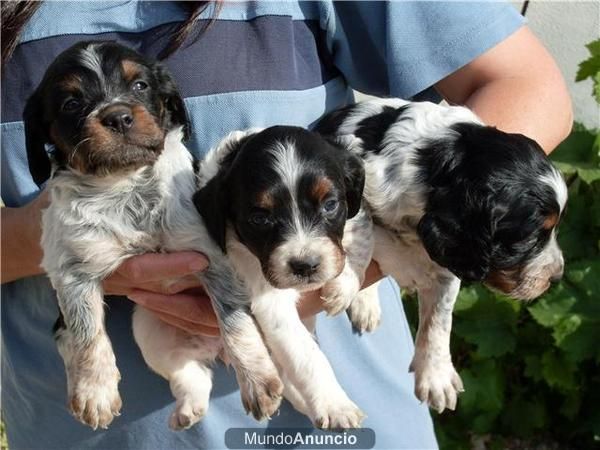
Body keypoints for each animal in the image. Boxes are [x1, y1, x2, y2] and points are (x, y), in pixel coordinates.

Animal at [24, 41, 282, 428]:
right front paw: (95, 392)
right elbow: (86, 331)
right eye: (71, 103)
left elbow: (235, 321)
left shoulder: (211, 257)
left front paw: (257, 380)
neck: (125, 185)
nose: (117, 116)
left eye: (140, 86)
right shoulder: (72, 265)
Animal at [192, 126, 370, 428]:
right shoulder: (269, 301)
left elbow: (362, 240)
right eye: (260, 218)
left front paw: (344, 289)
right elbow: (308, 356)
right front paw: (336, 405)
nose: (306, 265)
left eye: (330, 204)